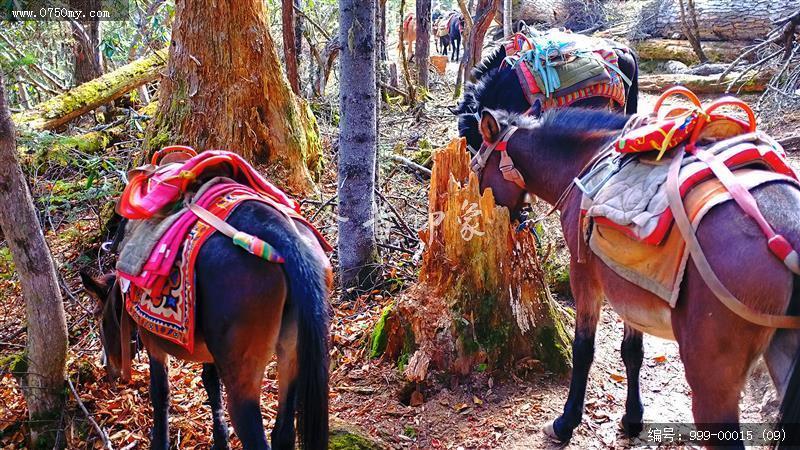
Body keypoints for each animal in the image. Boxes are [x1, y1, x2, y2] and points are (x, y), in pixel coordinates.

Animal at [81, 201, 332, 450]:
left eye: (101, 319)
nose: (110, 369)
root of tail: (283, 234)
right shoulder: (211, 351)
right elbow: (210, 383)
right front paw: (220, 441)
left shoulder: (152, 342)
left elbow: (160, 393)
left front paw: (160, 442)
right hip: (292, 356)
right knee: (283, 433)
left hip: (242, 380)